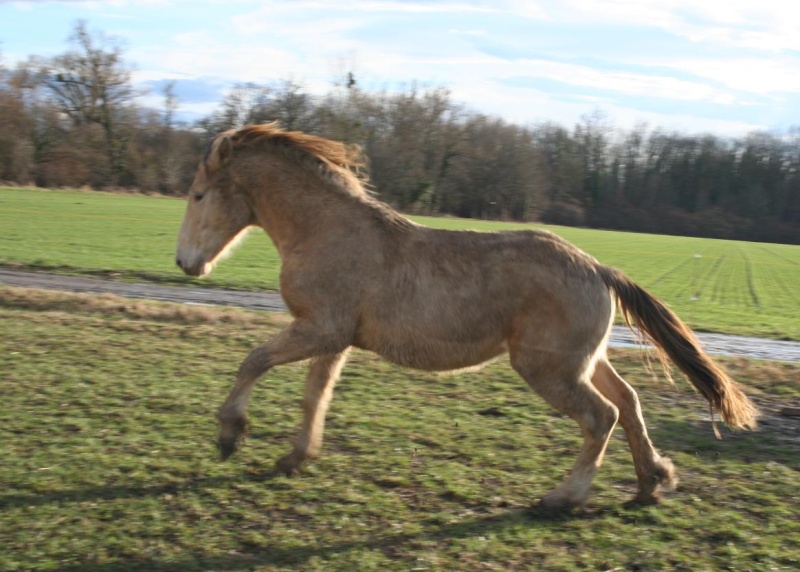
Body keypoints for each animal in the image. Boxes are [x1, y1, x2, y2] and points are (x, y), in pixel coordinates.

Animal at [175, 123, 756, 508]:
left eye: (199, 194)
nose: (185, 263)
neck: (326, 231)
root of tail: (598, 268)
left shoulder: (318, 328)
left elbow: (254, 361)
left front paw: (230, 435)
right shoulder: (333, 337)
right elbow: (314, 396)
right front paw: (295, 458)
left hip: (548, 369)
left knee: (602, 417)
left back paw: (562, 499)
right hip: (583, 362)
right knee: (630, 403)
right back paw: (651, 481)